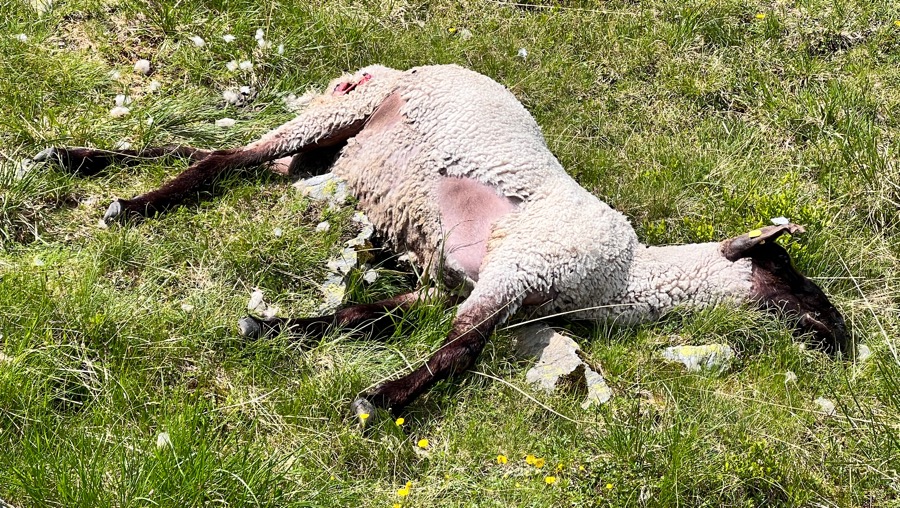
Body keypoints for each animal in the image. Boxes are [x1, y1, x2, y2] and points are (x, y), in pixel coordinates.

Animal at [37, 62, 852, 416]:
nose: (846, 340)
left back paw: (75, 161)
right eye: (789, 271)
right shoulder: (519, 268)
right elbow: (461, 350)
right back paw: (124, 203)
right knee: (220, 158)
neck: (623, 278)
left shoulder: (448, 284)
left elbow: (365, 316)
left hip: (324, 159)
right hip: (344, 115)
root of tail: (389, 66)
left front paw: (269, 328)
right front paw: (382, 401)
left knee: (220, 155)